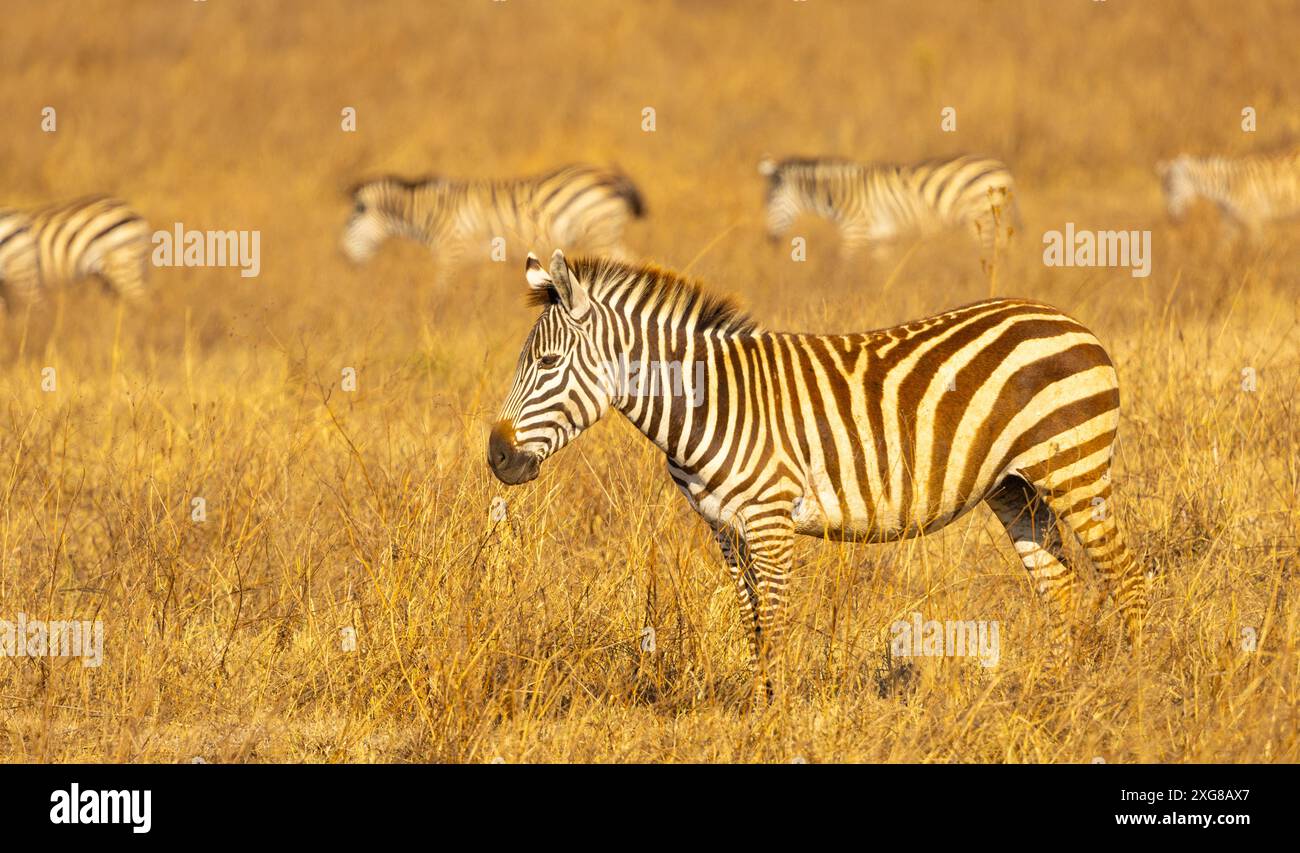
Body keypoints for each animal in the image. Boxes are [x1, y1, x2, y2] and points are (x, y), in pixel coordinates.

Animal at [341, 163, 644, 268]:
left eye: (351, 221)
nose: (343, 257)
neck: (430, 212)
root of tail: (610, 177)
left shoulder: (451, 250)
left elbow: (439, 297)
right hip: (605, 235)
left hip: (597, 234)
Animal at [488, 250, 1148, 703]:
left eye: (548, 362)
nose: (496, 456)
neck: (707, 403)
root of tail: (1069, 320)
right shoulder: (724, 530)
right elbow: (751, 620)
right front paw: (759, 708)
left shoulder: (770, 520)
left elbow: (775, 621)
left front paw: (772, 716)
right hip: (1017, 488)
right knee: (1059, 585)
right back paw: (1058, 691)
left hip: (1076, 468)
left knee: (1126, 573)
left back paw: (1136, 686)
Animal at [758, 154, 1020, 259]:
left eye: (770, 201)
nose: (770, 239)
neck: (841, 193)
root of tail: (1001, 167)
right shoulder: (882, 235)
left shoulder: (855, 229)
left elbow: (844, 265)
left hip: (982, 218)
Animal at [1156, 151, 1300, 234]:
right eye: (1163, 190)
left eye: (1171, 187)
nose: (1171, 217)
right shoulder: (1229, 222)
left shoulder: (1255, 218)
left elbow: (1258, 247)